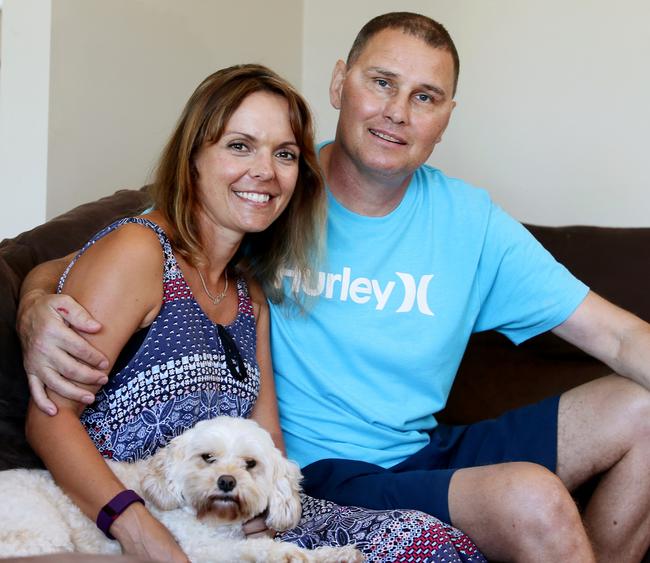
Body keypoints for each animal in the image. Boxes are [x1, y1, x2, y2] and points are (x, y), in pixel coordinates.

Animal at [0, 416, 362, 560]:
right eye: (208, 457)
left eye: (250, 464)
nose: (226, 481)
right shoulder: (204, 551)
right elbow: (264, 550)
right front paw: (291, 554)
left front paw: (337, 555)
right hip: (41, 532)